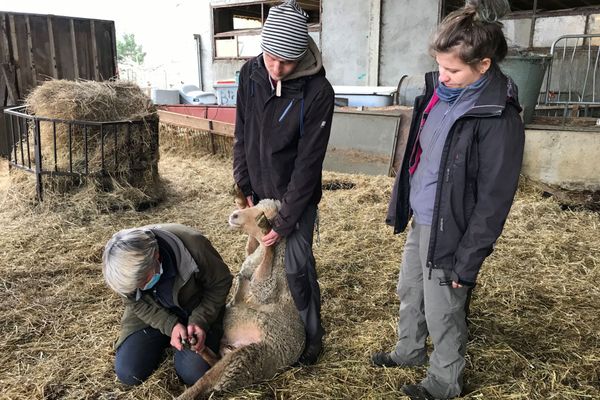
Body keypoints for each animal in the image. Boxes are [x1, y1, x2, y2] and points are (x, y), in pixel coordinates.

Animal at [176, 198, 302, 398]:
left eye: (265, 215)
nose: (234, 215)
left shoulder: (266, 287)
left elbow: (265, 259)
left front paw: (266, 232)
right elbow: (243, 275)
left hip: (246, 358)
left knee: (209, 378)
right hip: (233, 356)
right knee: (215, 361)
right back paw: (196, 344)